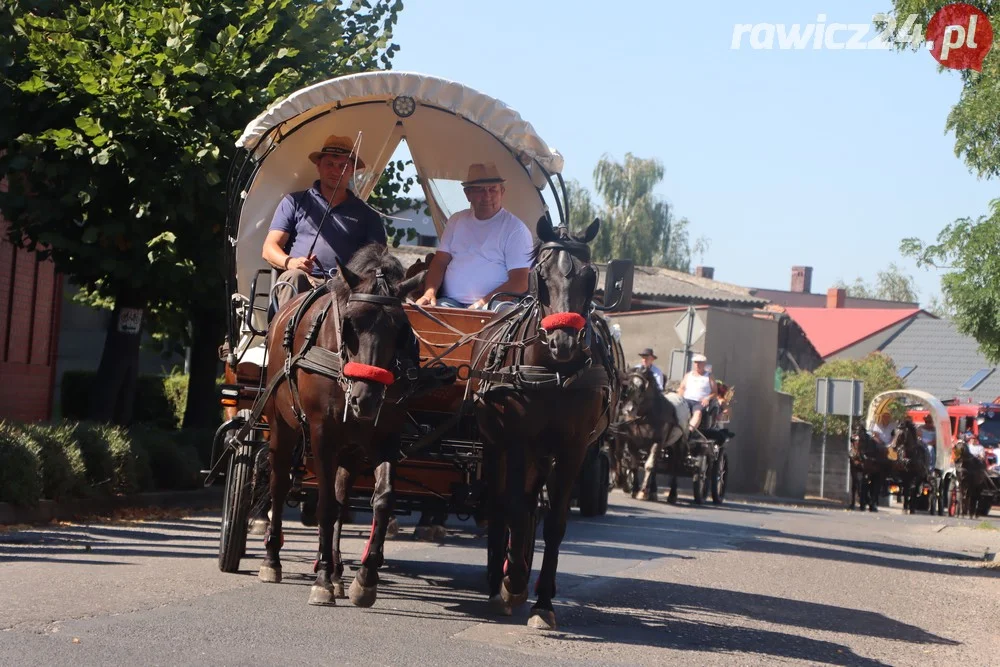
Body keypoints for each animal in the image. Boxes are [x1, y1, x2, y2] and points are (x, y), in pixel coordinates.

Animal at [260, 247, 424, 612]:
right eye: (351, 323)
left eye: (400, 328)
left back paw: (336, 571)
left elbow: (382, 500)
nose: (367, 397)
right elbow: (325, 506)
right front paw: (321, 581)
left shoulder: (386, 437)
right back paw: (274, 560)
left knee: (340, 494)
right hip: (281, 427)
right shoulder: (322, 435)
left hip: (349, 449)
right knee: (279, 484)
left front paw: (365, 579)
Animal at [472, 218, 620, 632]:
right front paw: (512, 585)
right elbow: (514, 509)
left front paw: (543, 602)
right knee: (501, 504)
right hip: (496, 446)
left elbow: (553, 523)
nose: (563, 342)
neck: (553, 373)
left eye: (591, 276)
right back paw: (500, 580)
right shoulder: (517, 441)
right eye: (541, 274)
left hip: (542, 455)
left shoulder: (573, 449)